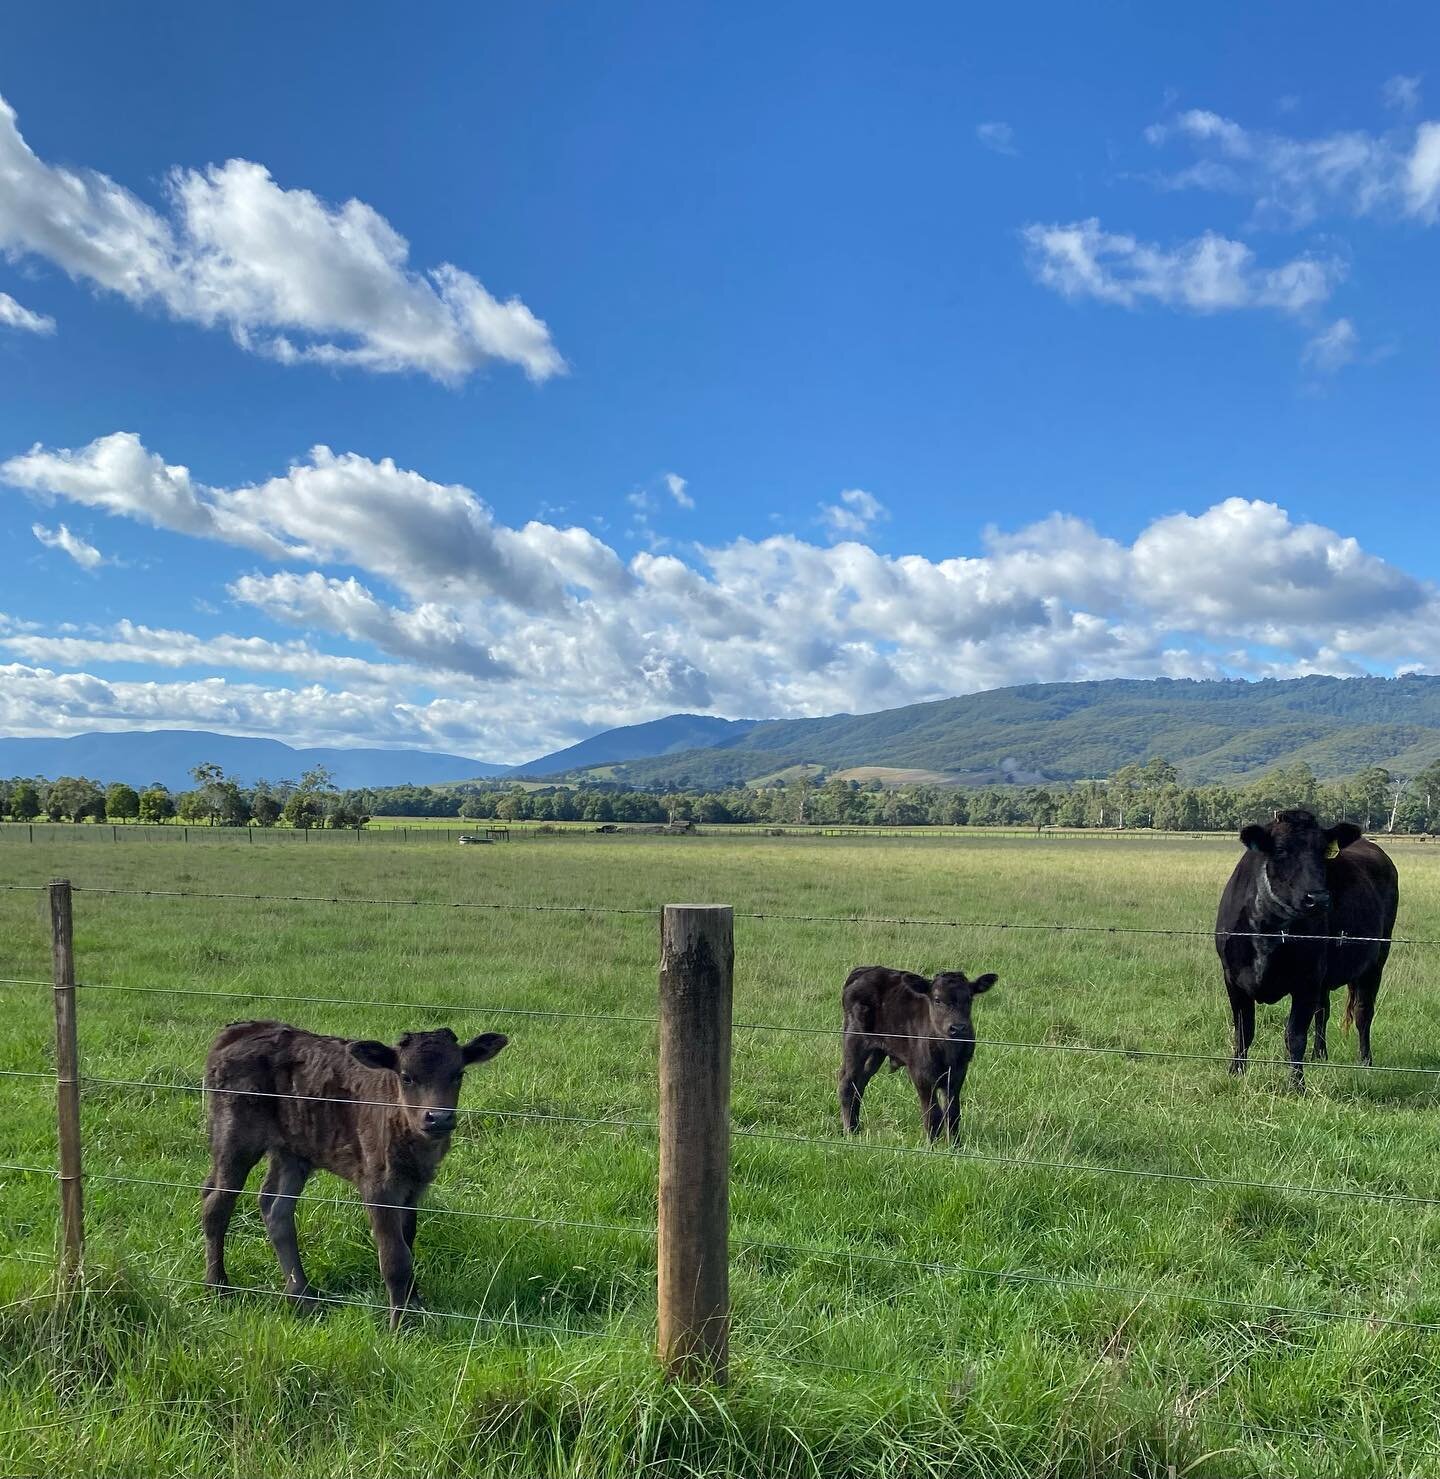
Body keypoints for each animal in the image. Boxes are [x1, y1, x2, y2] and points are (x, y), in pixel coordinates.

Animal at [202, 1017, 508, 1331]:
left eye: (458, 1074)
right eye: (406, 1077)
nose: (439, 1118)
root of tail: (241, 1029)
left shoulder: (413, 1188)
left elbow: (408, 1241)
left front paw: (415, 1305)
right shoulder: (378, 1187)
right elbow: (394, 1257)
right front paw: (399, 1326)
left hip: (293, 1153)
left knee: (275, 1209)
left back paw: (302, 1297)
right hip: (234, 1140)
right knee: (216, 1207)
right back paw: (219, 1287)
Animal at [839, 970, 999, 1141]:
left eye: (969, 998)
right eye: (937, 999)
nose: (958, 1028)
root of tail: (863, 970)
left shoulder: (959, 1072)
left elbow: (952, 1113)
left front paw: (955, 1145)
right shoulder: (920, 1073)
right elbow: (933, 1115)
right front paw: (931, 1145)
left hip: (876, 1052)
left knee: (859, 1084)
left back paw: (856, 1128)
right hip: (855, 1041)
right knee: (847, 1083)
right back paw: (850, 1132)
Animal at [1218, 810, 1395, 1088]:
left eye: (1323, 851)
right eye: (1280, 850)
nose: (1318, 898)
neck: (1268, 930)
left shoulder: (1307, 981)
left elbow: (1295, 1035)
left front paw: (1297, 1085)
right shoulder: (1233, 978)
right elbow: (1244, 1030)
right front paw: (1236, 1072)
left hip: (1376, 960)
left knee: (1363, 1012)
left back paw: (1366, 1061)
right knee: (1323, 1010)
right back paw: (1319, 1055)